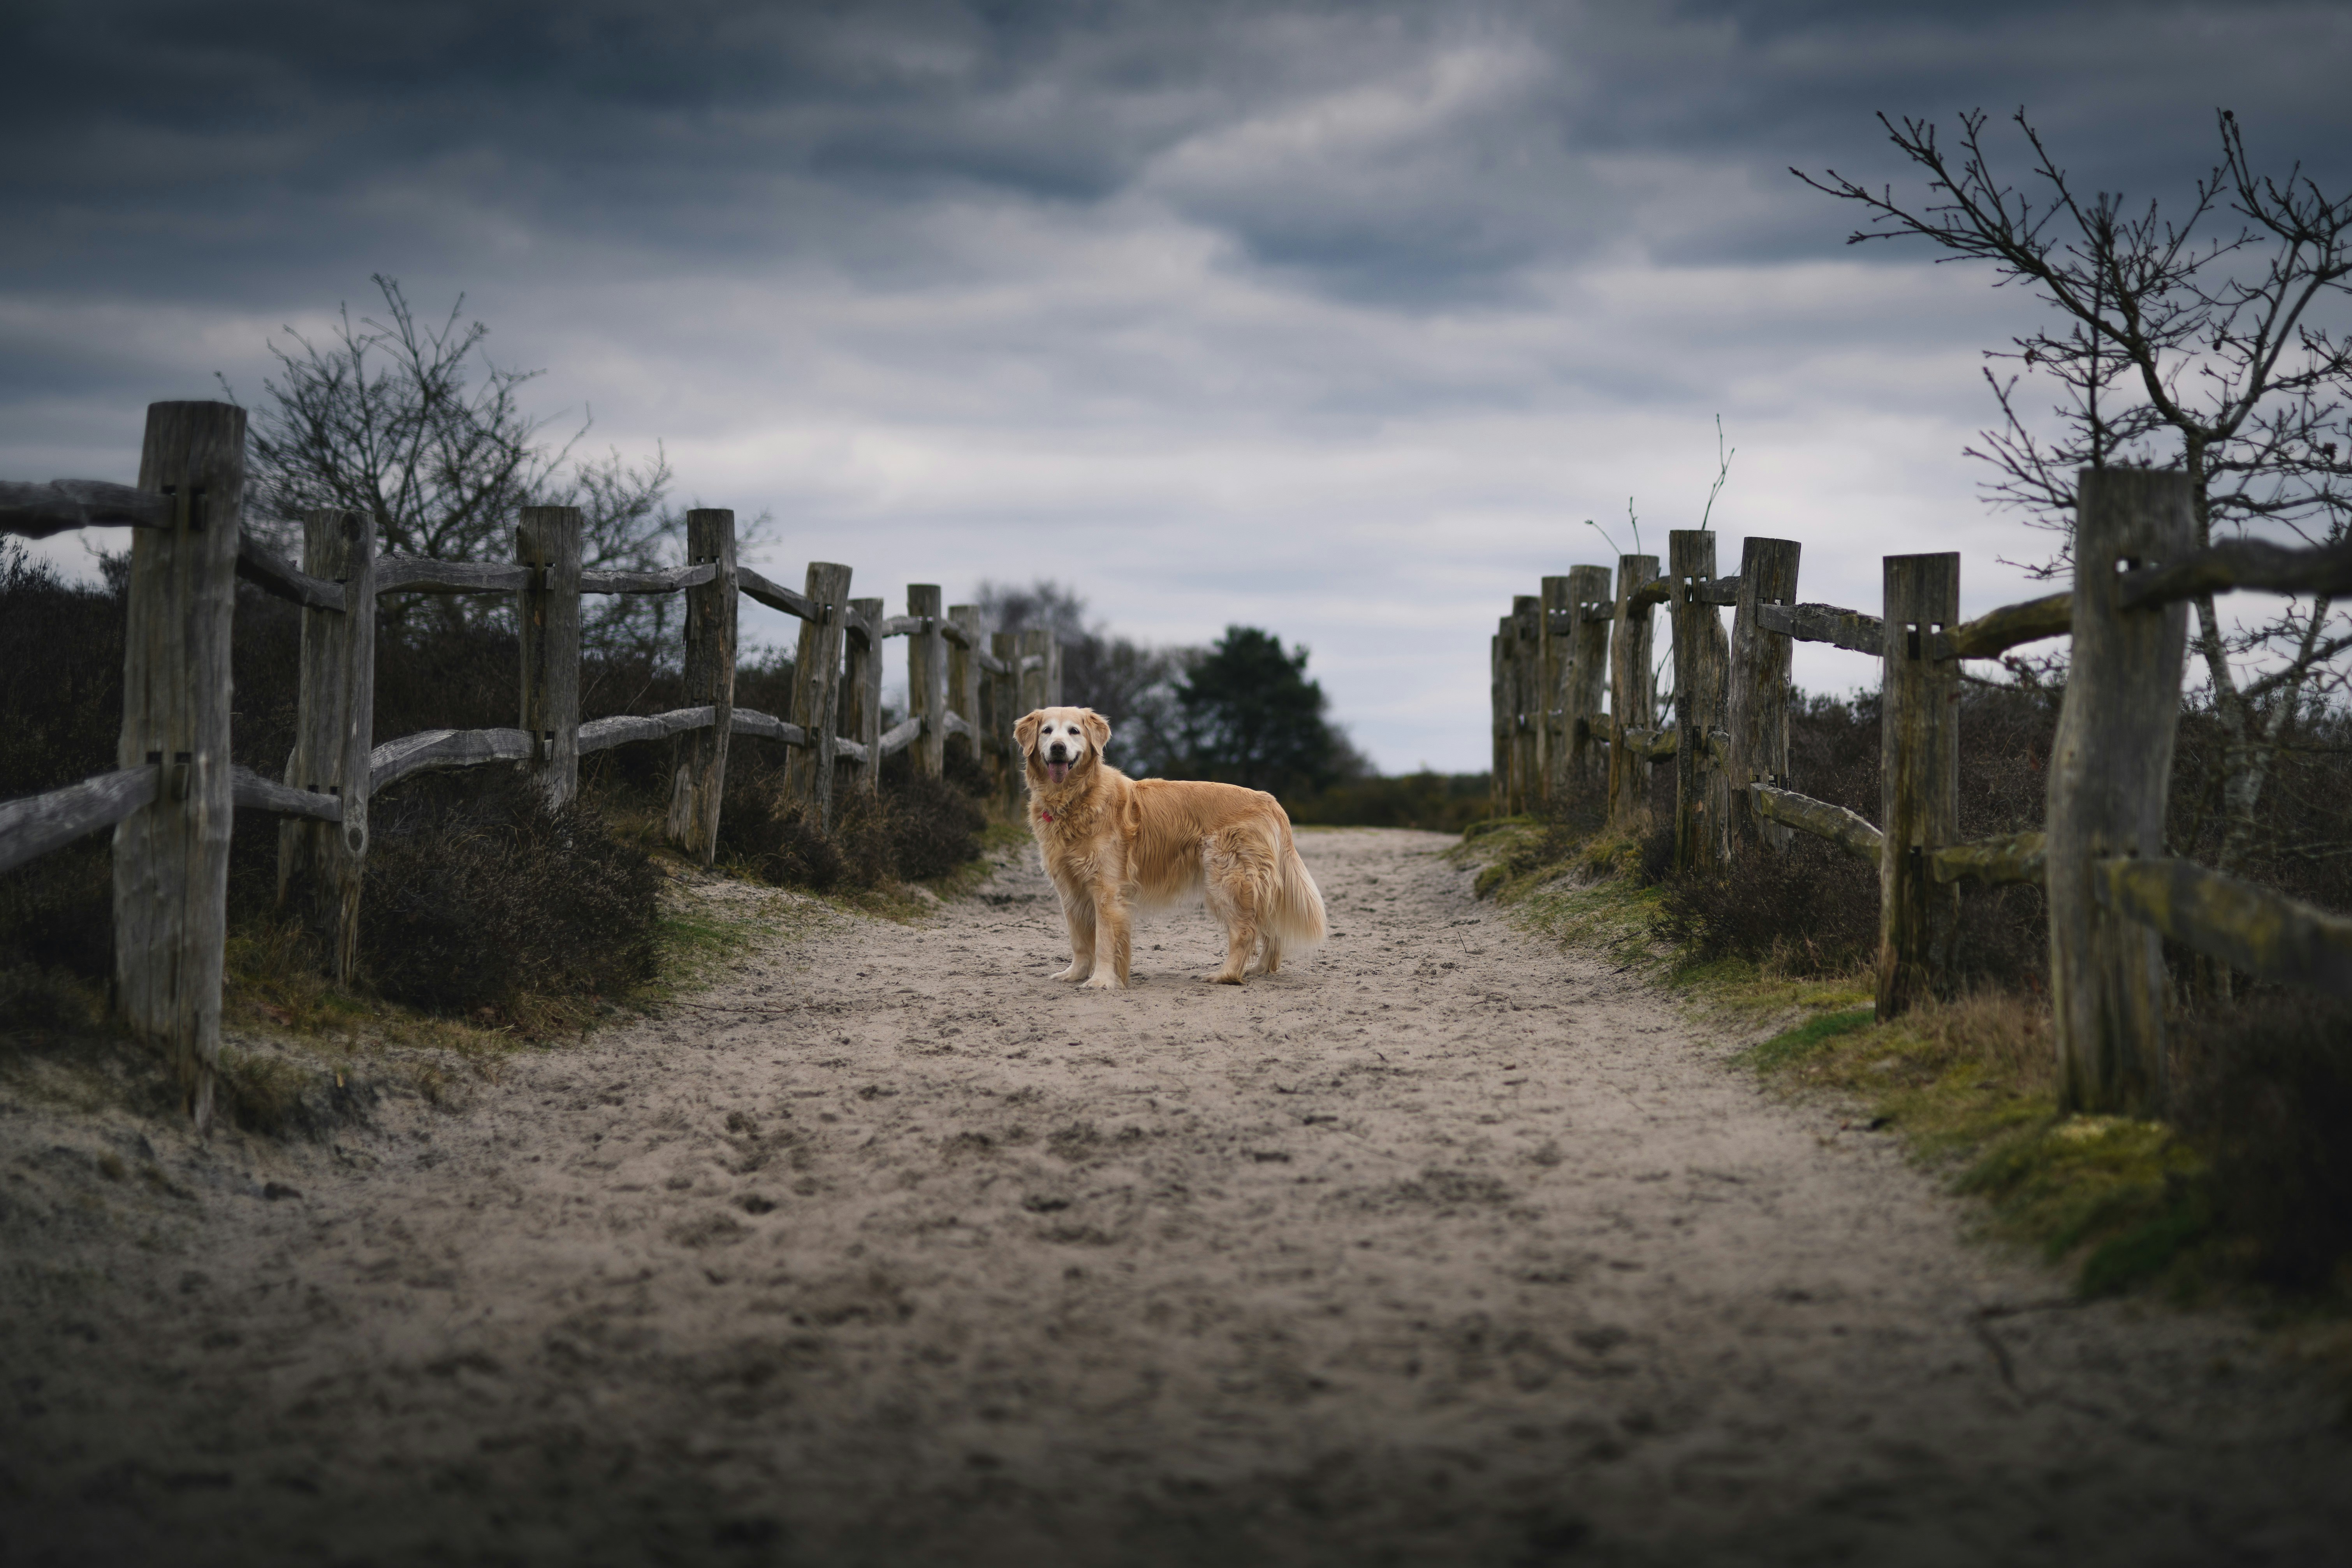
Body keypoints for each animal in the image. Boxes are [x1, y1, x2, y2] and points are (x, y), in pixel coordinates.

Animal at [1016, 710, 1336, 987]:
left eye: (1074, 731)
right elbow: (1079, 941)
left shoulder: (1107, 890)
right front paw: (1075, 974)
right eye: (1047, 731)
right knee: (1268, 926)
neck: (1076, 799)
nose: (1058, 748)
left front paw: (1102, 981)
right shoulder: (1070, 890)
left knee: (1245, 931)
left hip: (1227, 880)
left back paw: (1227, 974)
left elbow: (1105, 941)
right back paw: (1259, 969)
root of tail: (1270, 800)